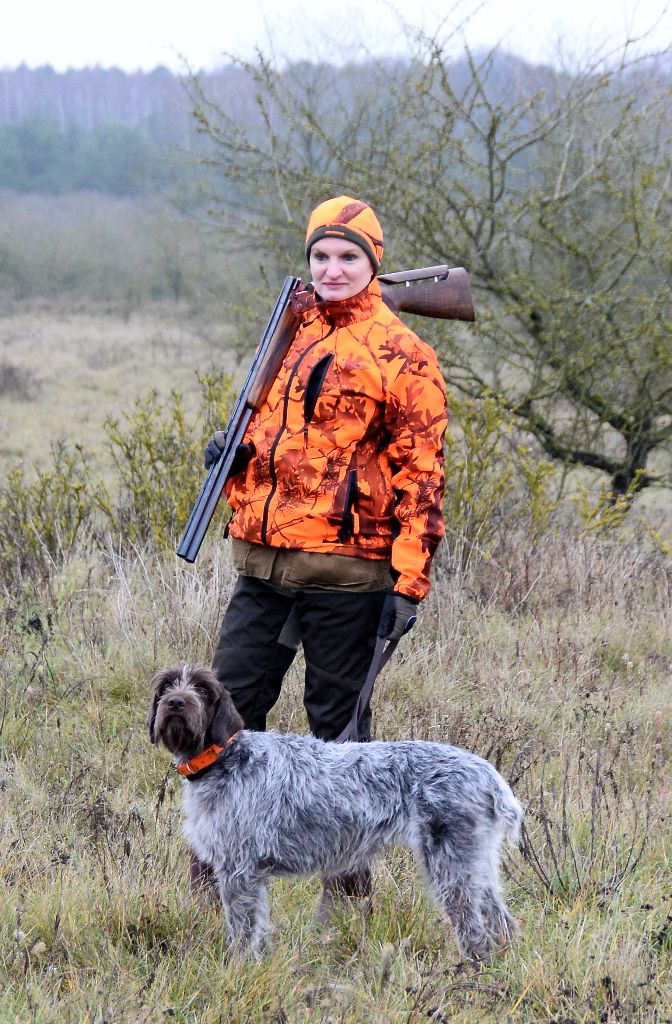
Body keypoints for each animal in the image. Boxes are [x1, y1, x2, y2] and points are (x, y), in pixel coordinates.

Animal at [148, 664, 523, 959]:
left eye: (202, 689)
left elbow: (243, 931)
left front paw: (238, 968)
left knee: (474, 929)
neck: (224, 758)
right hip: (477, 864)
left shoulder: (238, 870)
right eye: (166, 686)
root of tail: (487, 774)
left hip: (451, 865)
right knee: (500, 921)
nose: (176, 702)